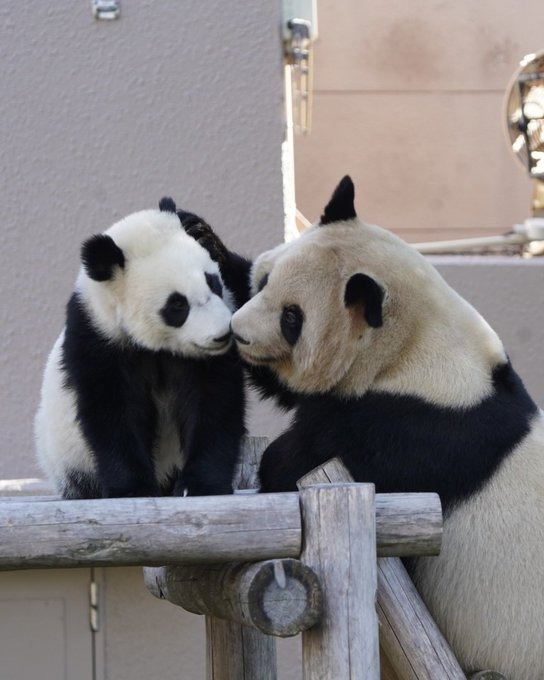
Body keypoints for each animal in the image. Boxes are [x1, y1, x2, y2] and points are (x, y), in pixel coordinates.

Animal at [35, 198, 245, 499]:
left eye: (213, 282)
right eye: (177, 304)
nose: (222, 334)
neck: (158, 345)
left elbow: (212, 402)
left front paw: (200, 484)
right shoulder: (99, 338)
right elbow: (115, 412)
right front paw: (133, 488)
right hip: (65, 454)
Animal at [222, 176, 544, 679]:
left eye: (293, 317)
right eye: (265, 280)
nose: (238, 332)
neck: (414, 342)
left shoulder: (414, 427)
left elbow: (306, 457)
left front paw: (275, 464)